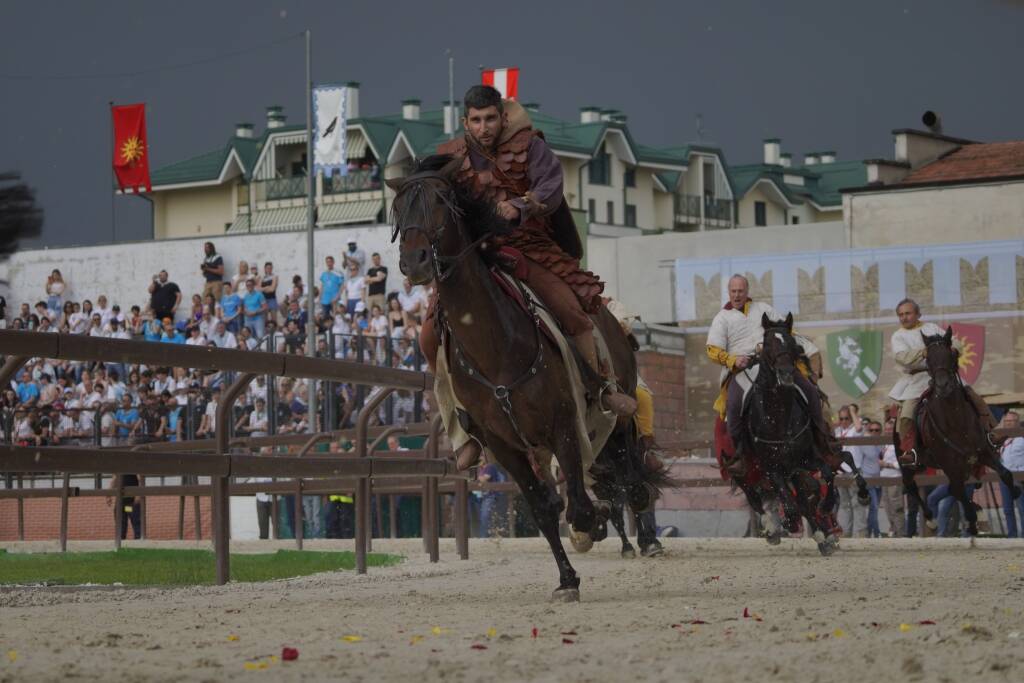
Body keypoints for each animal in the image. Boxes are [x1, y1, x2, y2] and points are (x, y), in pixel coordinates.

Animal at [389, 156, 663, 602]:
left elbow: (579, 503)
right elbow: (544, 508)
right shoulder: (505, 446)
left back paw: (637, 506)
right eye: (398, 209)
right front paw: (567, 579)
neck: (495, 345)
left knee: (626, 456)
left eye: (441, 202)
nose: (414, 262)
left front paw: (593, 525)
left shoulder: (564, 424)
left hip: (614, 405)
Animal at [897, 327, 1015, 536]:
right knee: (911, 485)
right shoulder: (951, 467)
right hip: (908, 464)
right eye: (928, 359)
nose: (943, 386)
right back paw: (931, 519)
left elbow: (1005, 474)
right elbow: (962, 499)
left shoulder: (984, 452)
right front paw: (972, 524)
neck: (955, 419)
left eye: (951, 355)